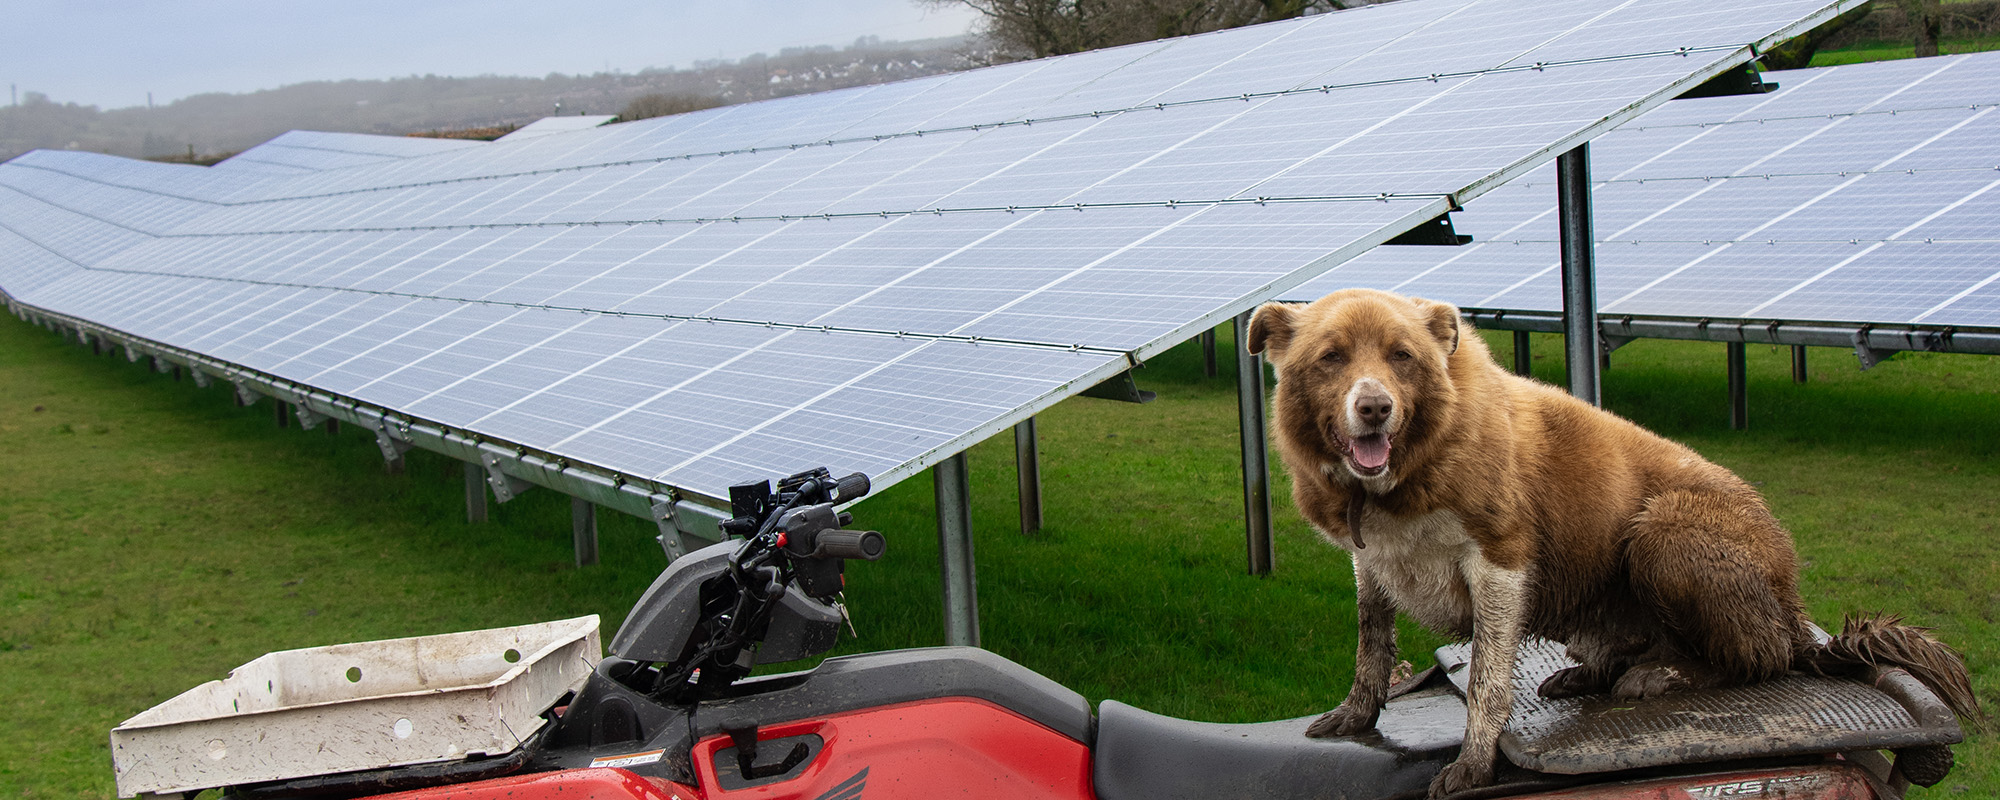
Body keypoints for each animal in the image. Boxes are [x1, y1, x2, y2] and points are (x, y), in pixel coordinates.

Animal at [1240, 290, 1976, 800]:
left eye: (1401, 357)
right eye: (1332, 357)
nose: (1375, 409)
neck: (1408, 468)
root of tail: (1796, 611)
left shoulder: (1501, 562)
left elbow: (1487, 682)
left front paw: (1474, 766)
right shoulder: (1372, 563)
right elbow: (1372, 649)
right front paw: (1355, 715)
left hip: (1663, 535)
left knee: (1757, 659)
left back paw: (1661, 674)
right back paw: (1590, 672)